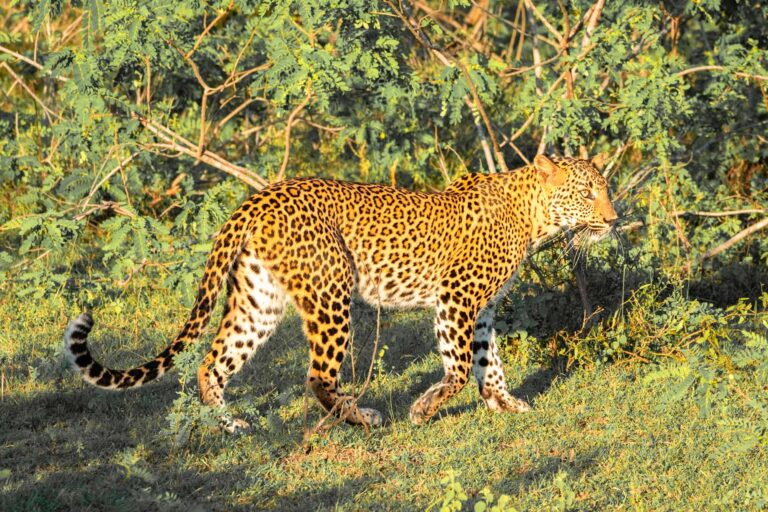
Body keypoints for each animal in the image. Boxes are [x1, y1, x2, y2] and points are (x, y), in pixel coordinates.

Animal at [64, 155, 616, 432]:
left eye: (605, 189)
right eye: (588, 192)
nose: (613, 219)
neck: (534, 217)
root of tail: (258, 197)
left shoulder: (481, 309)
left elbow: (488, 361)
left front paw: (504, 402)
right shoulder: (456, 298)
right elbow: (459, 369)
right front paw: (424, 409)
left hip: (259, 301)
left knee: (211, 362)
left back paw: (230, 425)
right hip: (331, 292)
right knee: (317, 376)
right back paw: (360, 416)